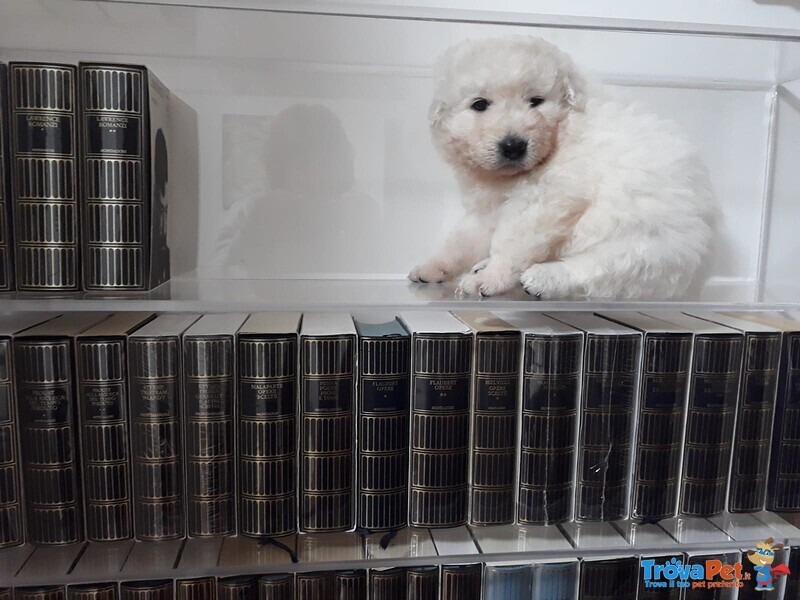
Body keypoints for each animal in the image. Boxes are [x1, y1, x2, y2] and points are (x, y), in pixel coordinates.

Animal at [410, 36, 716, 298]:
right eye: (480, 104)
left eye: (535, 101)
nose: (514, 146)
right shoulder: (487, 208)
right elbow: (461, 241)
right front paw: (432, 268)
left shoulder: (543, 201)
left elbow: (512, 243)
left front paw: (491, 278)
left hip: (643, 246)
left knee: (593, 270)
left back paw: (541, 278)